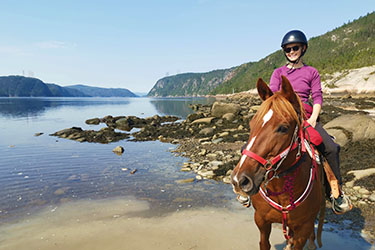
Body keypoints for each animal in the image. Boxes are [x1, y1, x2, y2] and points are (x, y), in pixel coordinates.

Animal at [231, 76, 324, 250]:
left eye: (283, 128)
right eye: (251, 124)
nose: (239, 180)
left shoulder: (304, 228)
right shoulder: (261, 220)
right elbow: (264, 243)